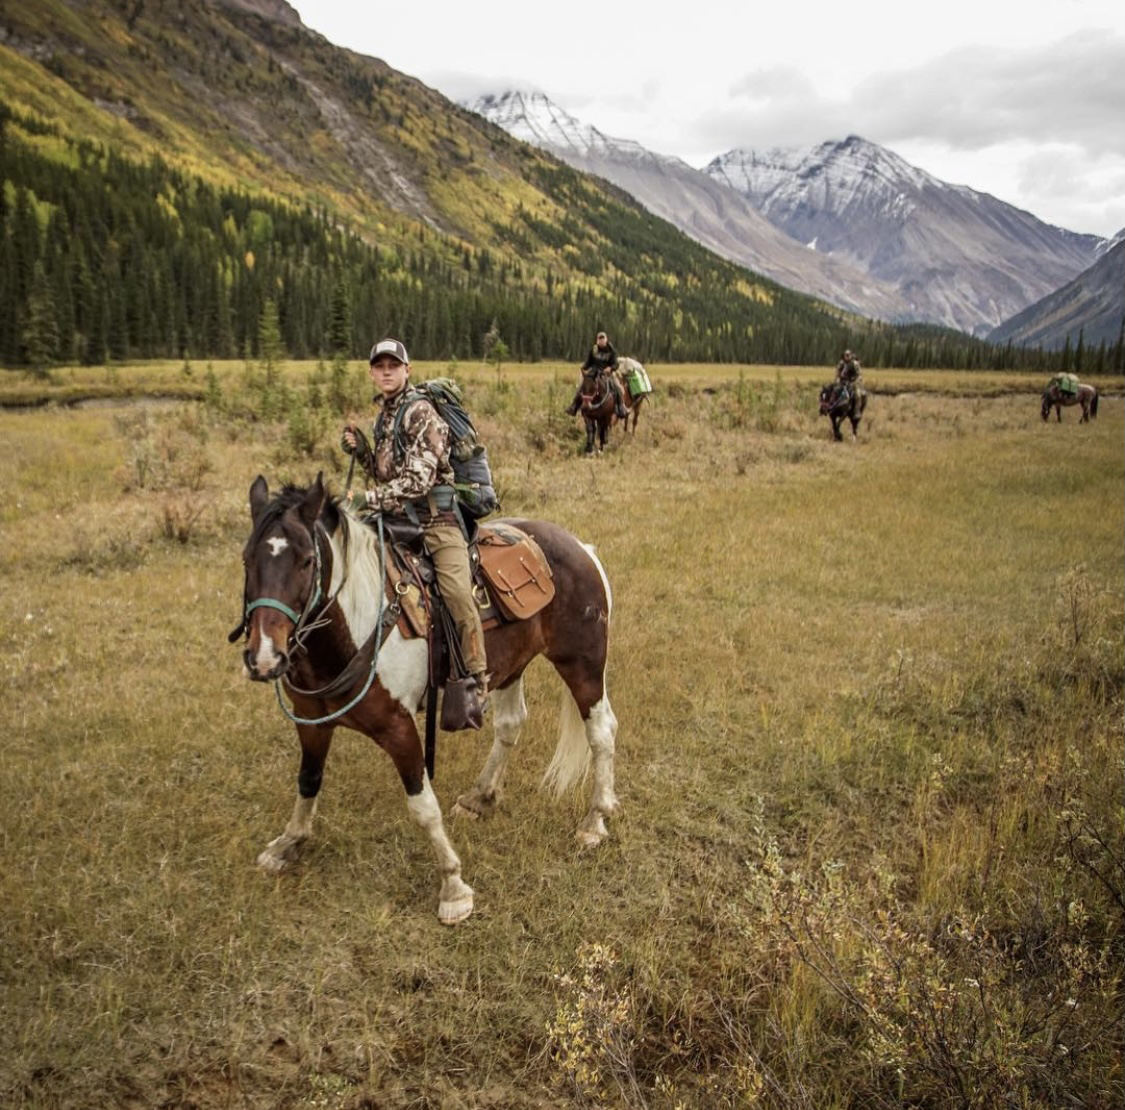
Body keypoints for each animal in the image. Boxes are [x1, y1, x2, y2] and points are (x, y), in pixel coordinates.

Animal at [235, 472, 625, 926]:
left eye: (307, 562)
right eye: (247, 560)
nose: (265, 658)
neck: (356, 630)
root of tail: (581, 548)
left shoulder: (399, 727)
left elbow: (422, 806)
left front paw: (453, 888)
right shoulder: (310, 719)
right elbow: (308, 781)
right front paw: (289, 843)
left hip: (582, 663)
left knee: (600, 731)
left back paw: (595, 821)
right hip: (510, 666)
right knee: (511, 724)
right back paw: (479, 797)